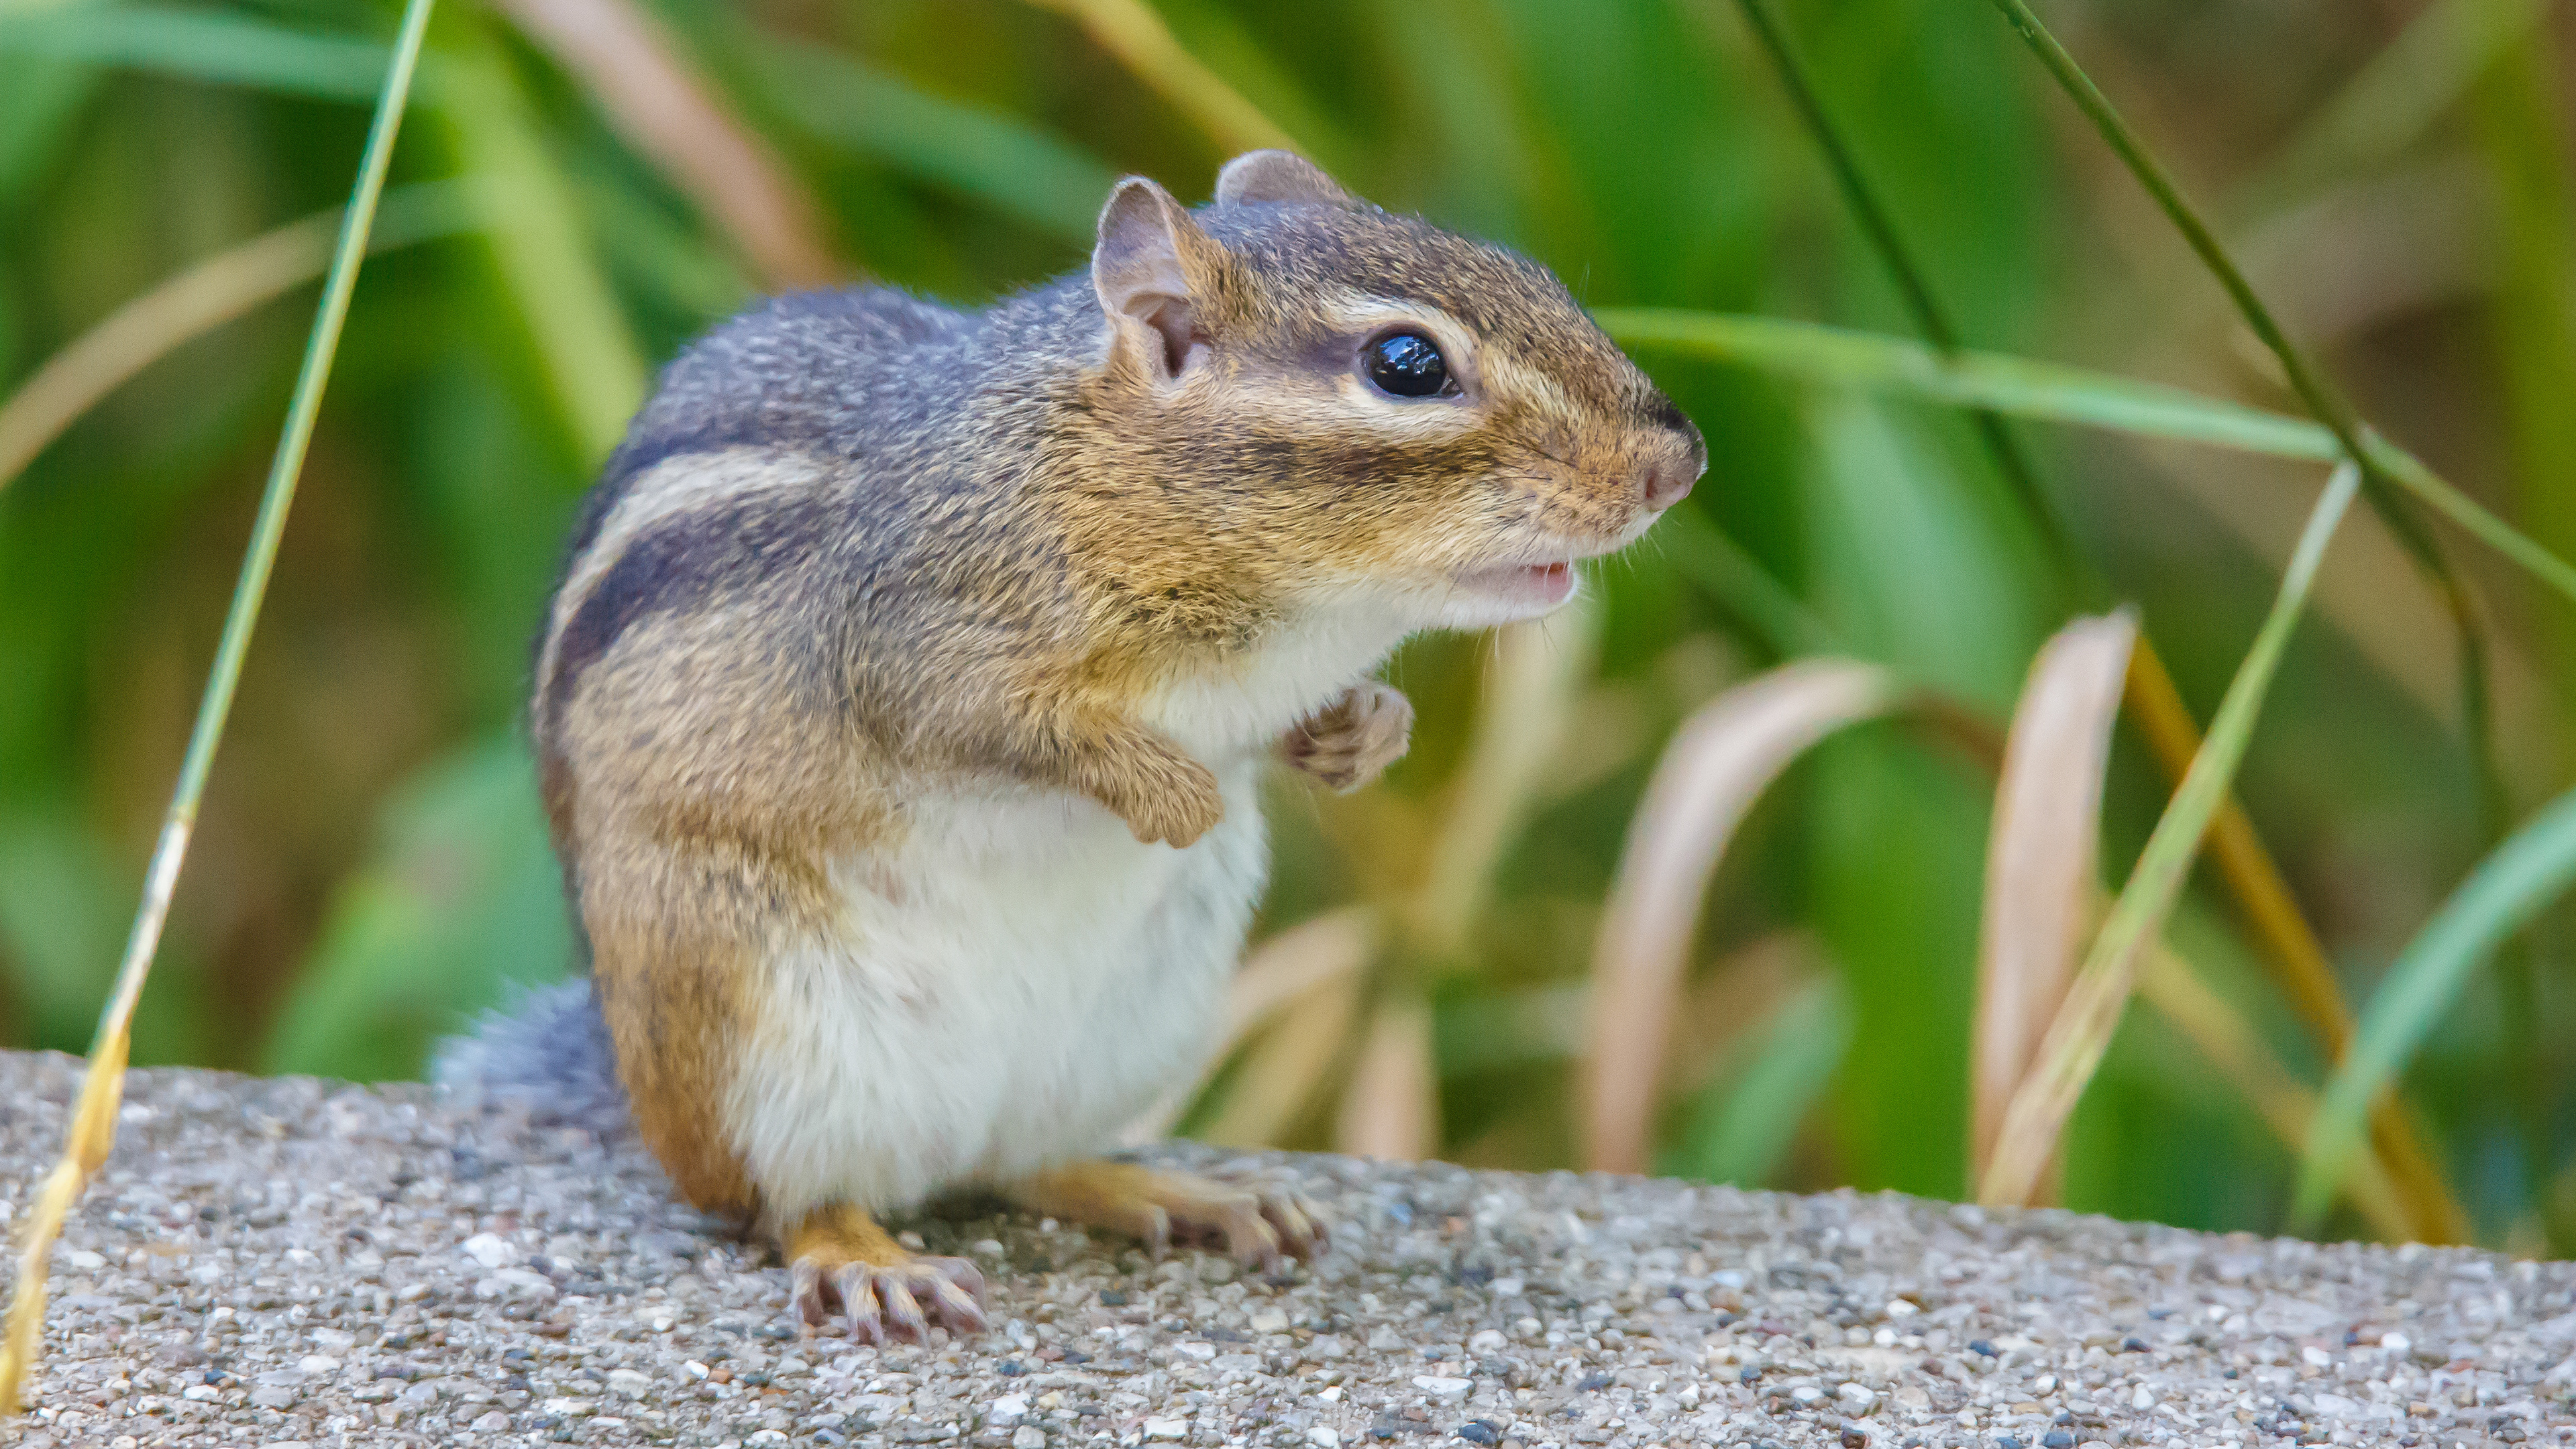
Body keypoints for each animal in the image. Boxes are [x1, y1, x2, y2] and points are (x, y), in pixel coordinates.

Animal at [437, 150, 1703, 1342]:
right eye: (1406, 364)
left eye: (1528, 274)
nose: (1679, 461)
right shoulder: (913, 644)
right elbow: (1008, 726)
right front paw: (1175, 796)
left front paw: (1360, 734)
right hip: (749, 1030)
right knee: (785, 1203)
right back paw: (871, 1258)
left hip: (1129, 1033)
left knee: (1025, 1166)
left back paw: (1186, 1194)